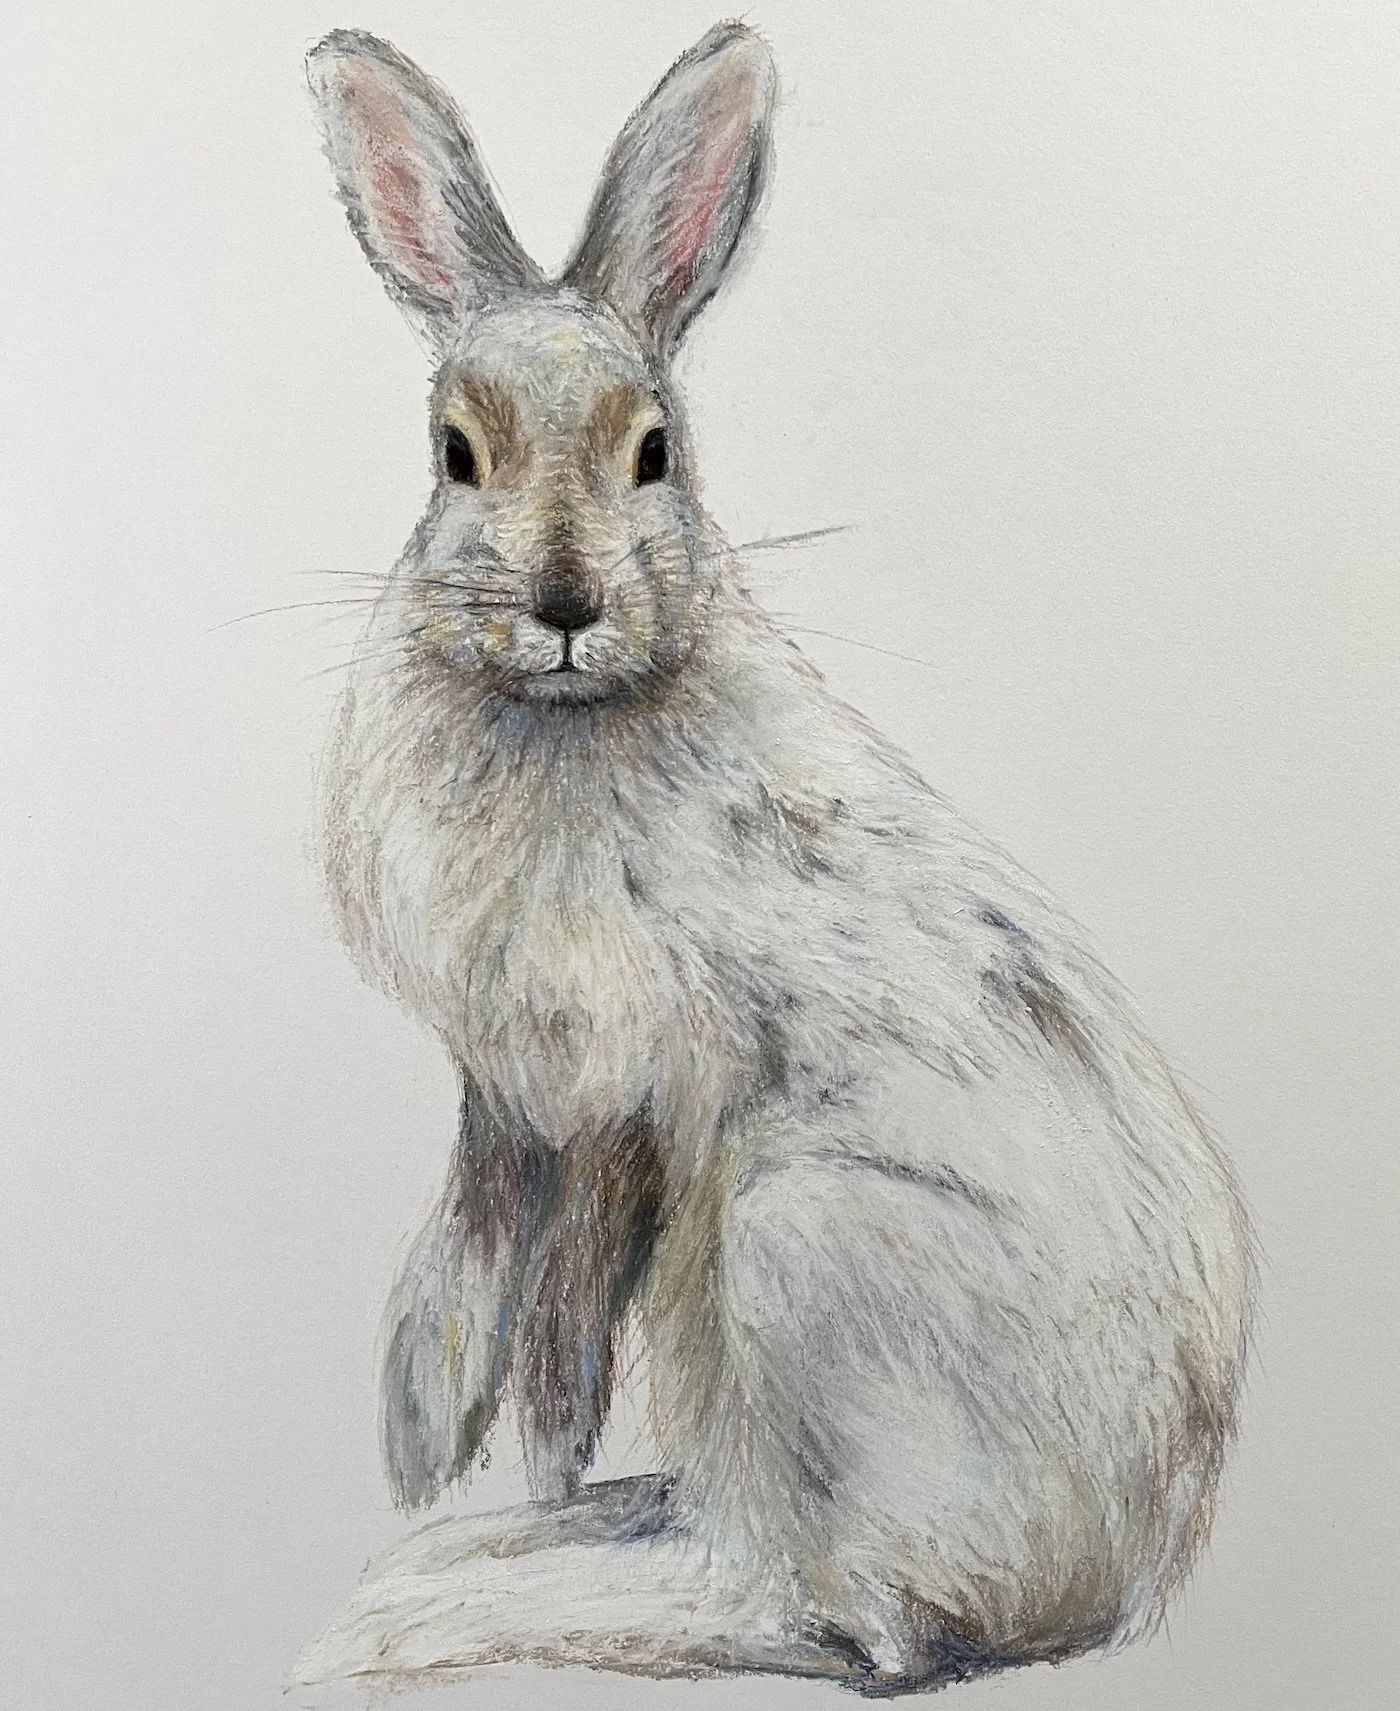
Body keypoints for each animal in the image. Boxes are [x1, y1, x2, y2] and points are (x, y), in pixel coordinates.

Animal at [299, 21, 1256, 1696]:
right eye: (453, 452)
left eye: (657, 452)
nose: (564, 601)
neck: (574, 710)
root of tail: (1124, 1569)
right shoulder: (511, 1093)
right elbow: (480, 1250)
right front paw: (424, 1427)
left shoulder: (612, 1098)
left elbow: (564, 1310)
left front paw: (488, 1465)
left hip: (794, 1256)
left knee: (835, 1611)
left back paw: (471, 1599)